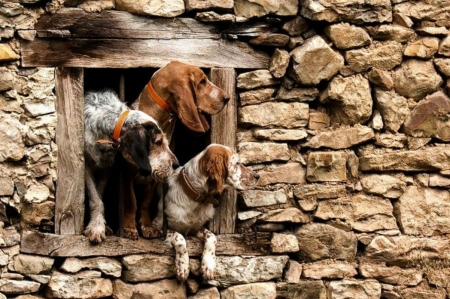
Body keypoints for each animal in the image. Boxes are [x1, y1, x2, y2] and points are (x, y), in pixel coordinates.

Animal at [83, 89, 177, 244]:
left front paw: (101, 225)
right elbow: (96, 200)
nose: (177, 163)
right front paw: (96, 227)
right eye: (158, 142)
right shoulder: (87, 165)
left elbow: (100, 195)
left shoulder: (105, 168)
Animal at [122, 61, 230, 241]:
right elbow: (131, 202)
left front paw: (147, 226)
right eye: (202, 82)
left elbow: (146, 202)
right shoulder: (128, 175)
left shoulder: (158, 175)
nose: (227, 98)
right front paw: (129, 228)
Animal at [152, 144, 260, 282]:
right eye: (237, 163)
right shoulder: (159, 226)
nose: (257, 176)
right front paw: (182, 267)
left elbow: (212, 237)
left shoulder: (197, 228)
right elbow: (180, 239)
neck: (195, 198)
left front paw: (208, 265)